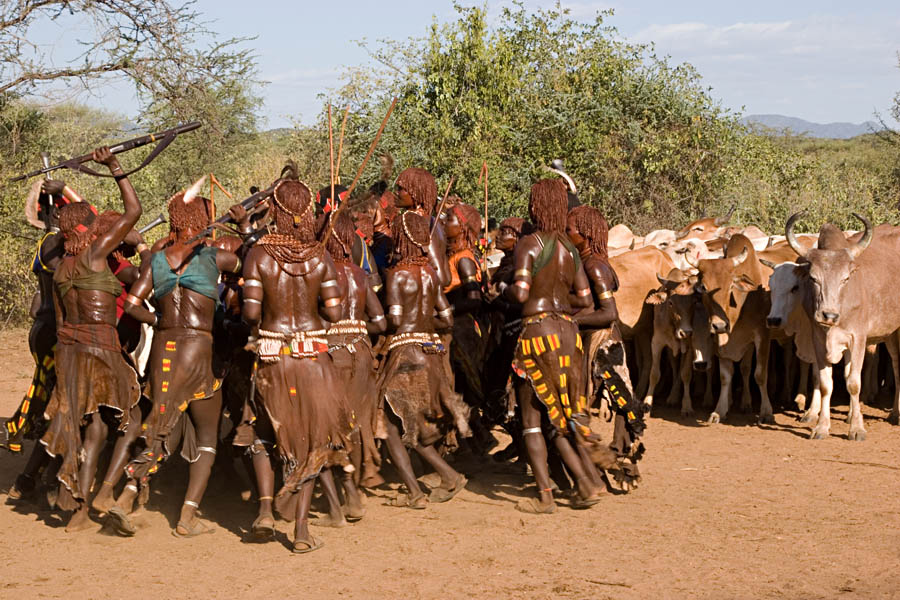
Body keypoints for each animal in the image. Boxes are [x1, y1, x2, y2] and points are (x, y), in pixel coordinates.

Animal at [784, 213, 900, 440]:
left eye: (845, 278)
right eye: (813, 278)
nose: (828, 315)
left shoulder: (858, 339)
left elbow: (853, 383)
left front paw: (856, 428)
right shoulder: (818, 340)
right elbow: (825, 383)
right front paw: (821, 426)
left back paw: (896, 415)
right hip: (889, 334)